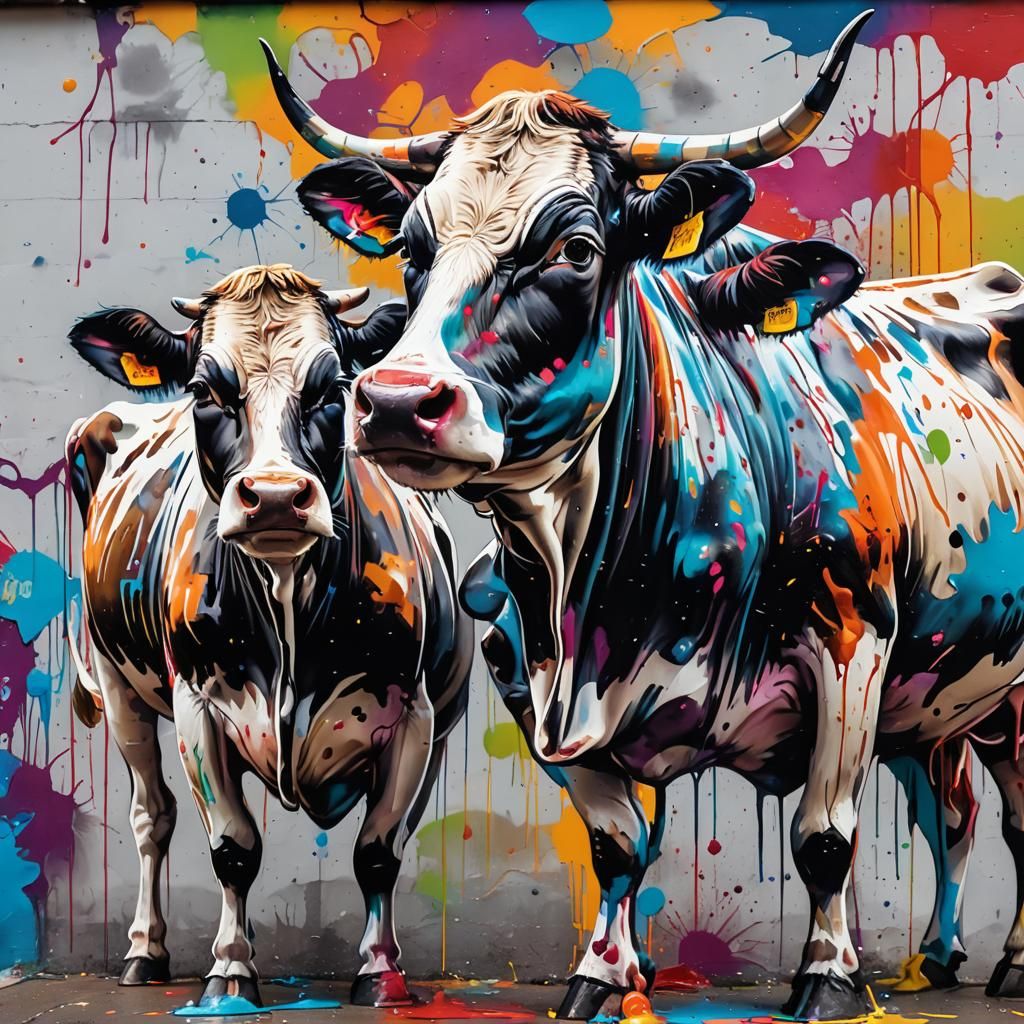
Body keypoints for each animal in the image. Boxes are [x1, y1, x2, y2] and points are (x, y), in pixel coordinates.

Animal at [65, 264, 472, 1009]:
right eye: (205, 390)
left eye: (334, 386)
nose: (277, 497)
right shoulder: (199, 704)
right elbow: (233, 847)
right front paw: (229, 972)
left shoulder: (418, 712)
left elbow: (380, 850)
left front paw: (381, 972)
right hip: (117, 683)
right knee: (151, 817)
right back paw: (144, 954)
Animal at [263, 11, 1024, 1019]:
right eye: (414, 252)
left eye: (577, 250)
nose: (393, 401)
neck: (606, 599)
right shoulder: (523, 667)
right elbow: (619, 844)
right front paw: (603, 972)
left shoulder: (853, 641)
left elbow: (825, 836)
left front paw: (826, 976)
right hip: (943, 694)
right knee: (955, 808)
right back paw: (939, 955)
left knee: (1010, 812)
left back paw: (1003, 958)